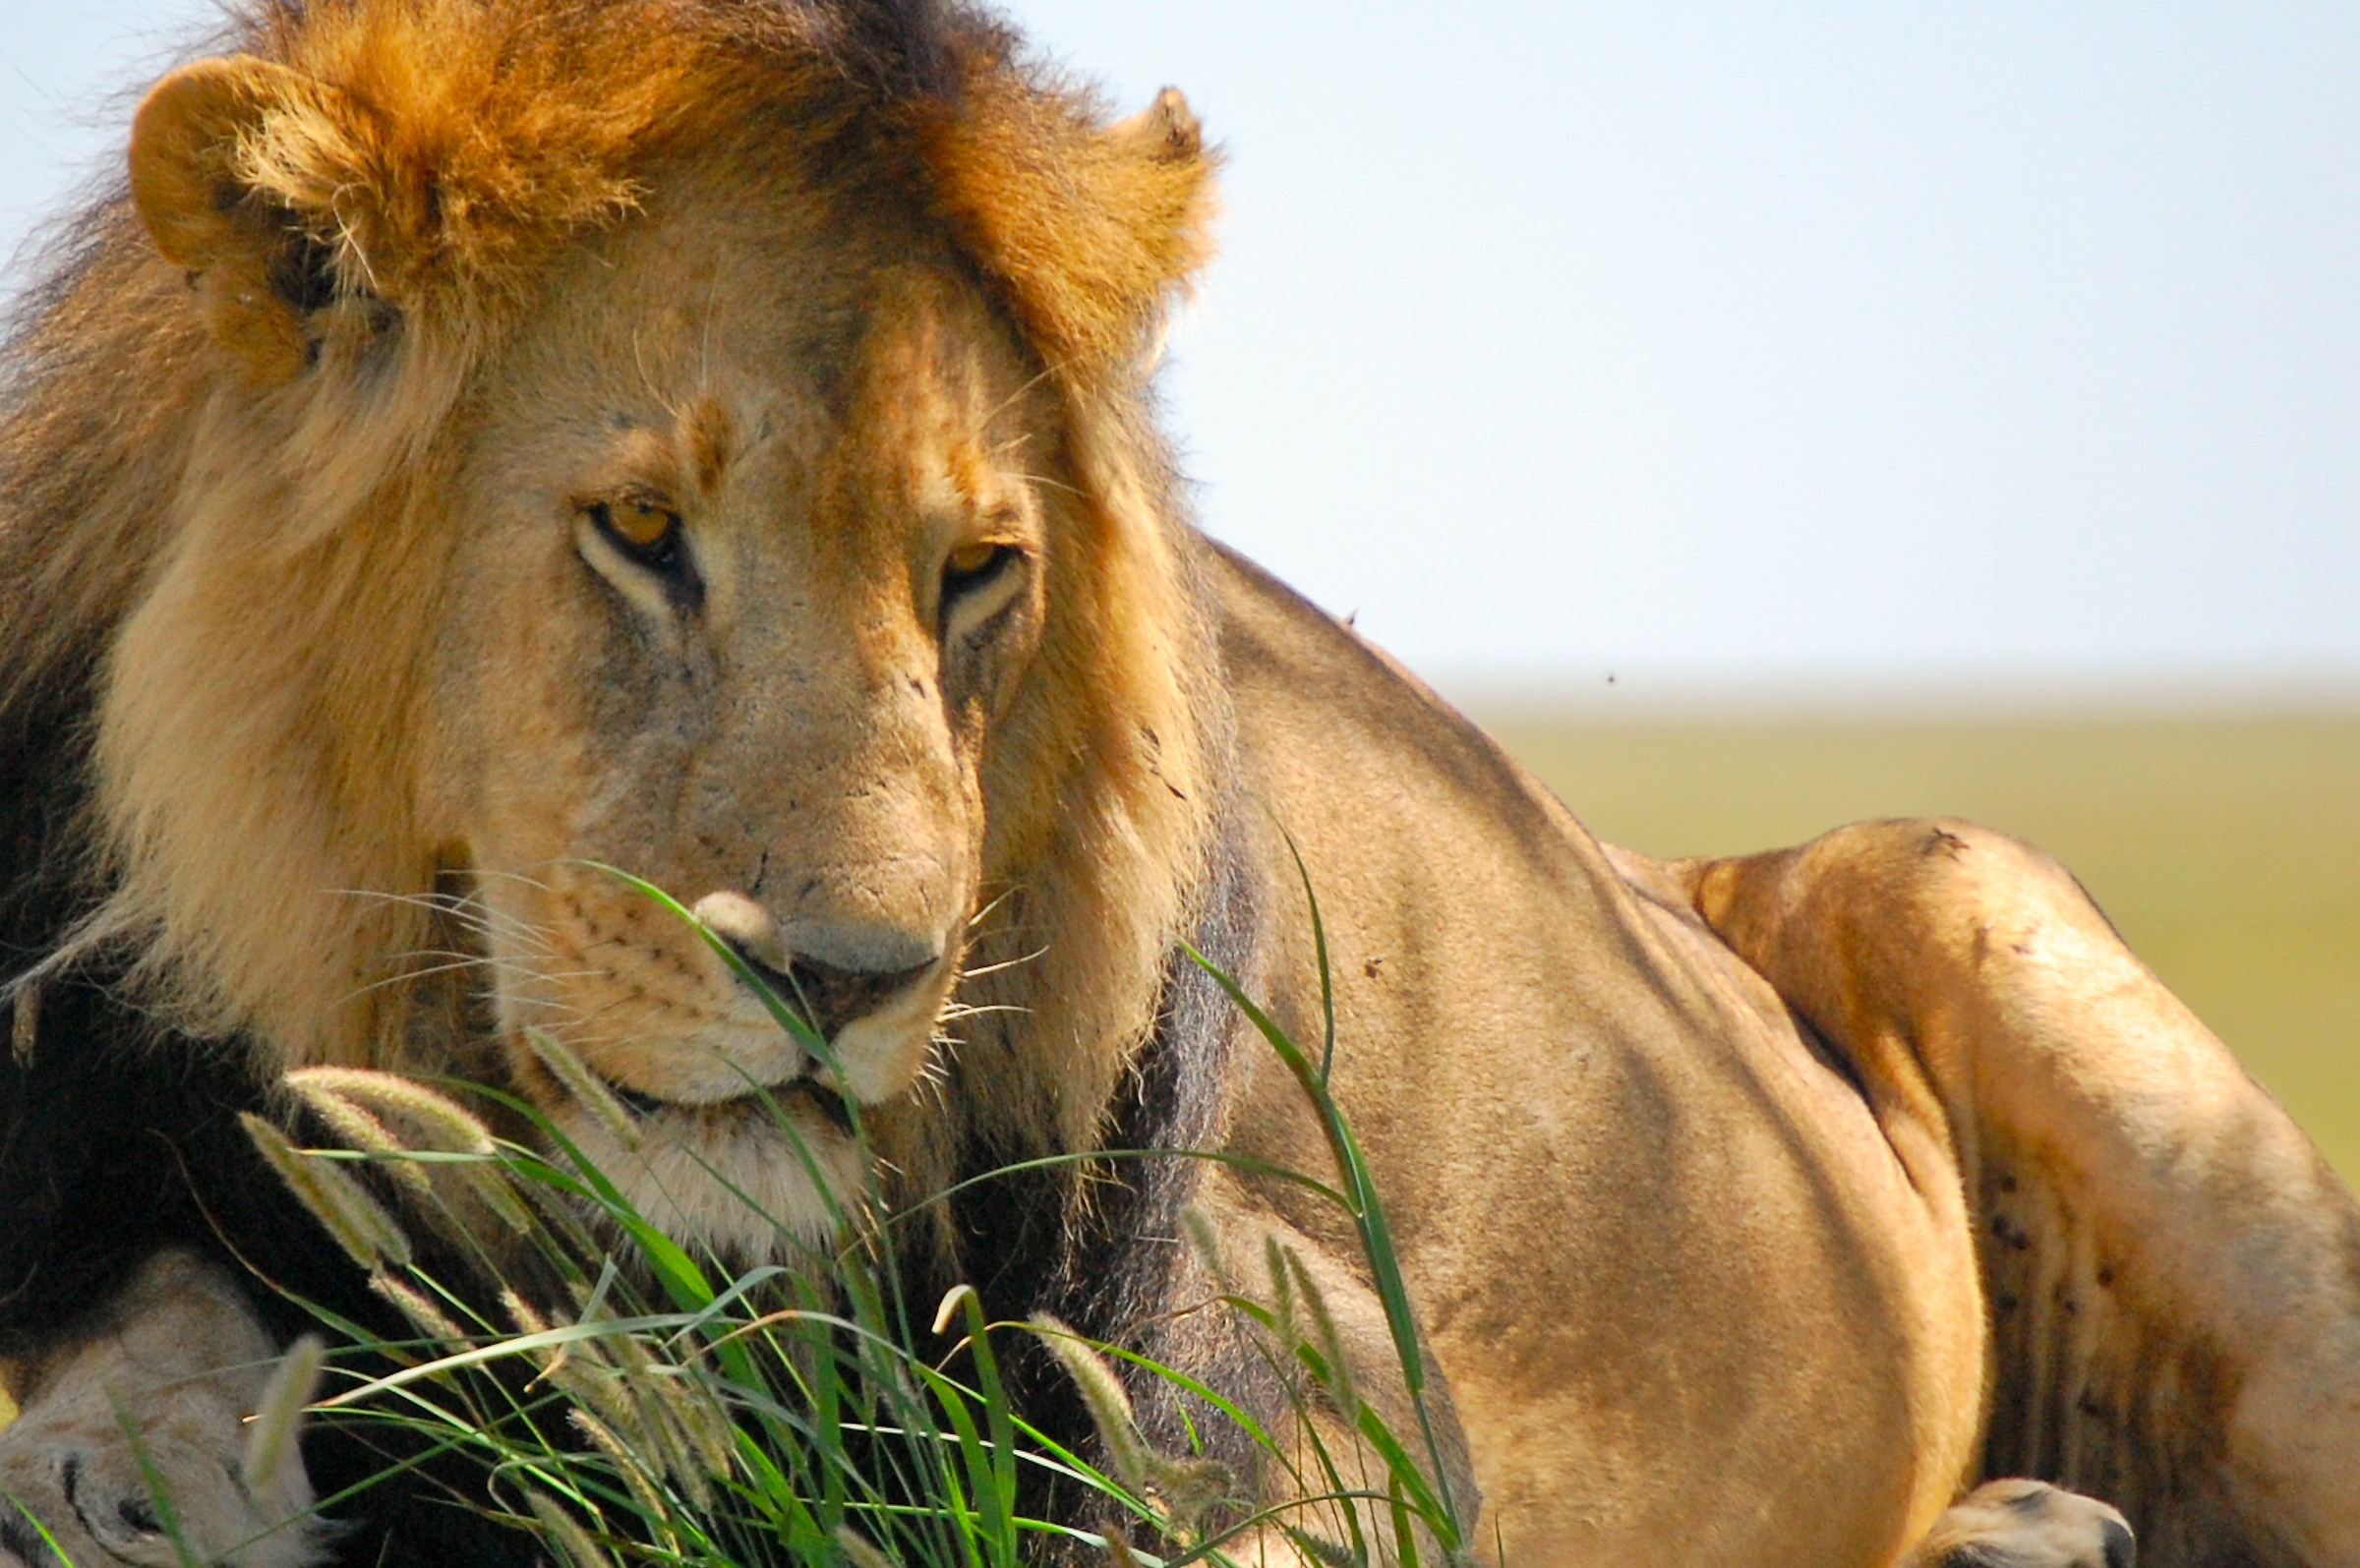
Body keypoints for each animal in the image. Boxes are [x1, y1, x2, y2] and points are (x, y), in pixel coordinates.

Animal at [2, 2, 2356, 1565]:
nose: (853, 979)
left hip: (1998, 918)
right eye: (643, 531)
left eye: (977, 572)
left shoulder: (1307, 1355)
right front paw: (150, 1471)